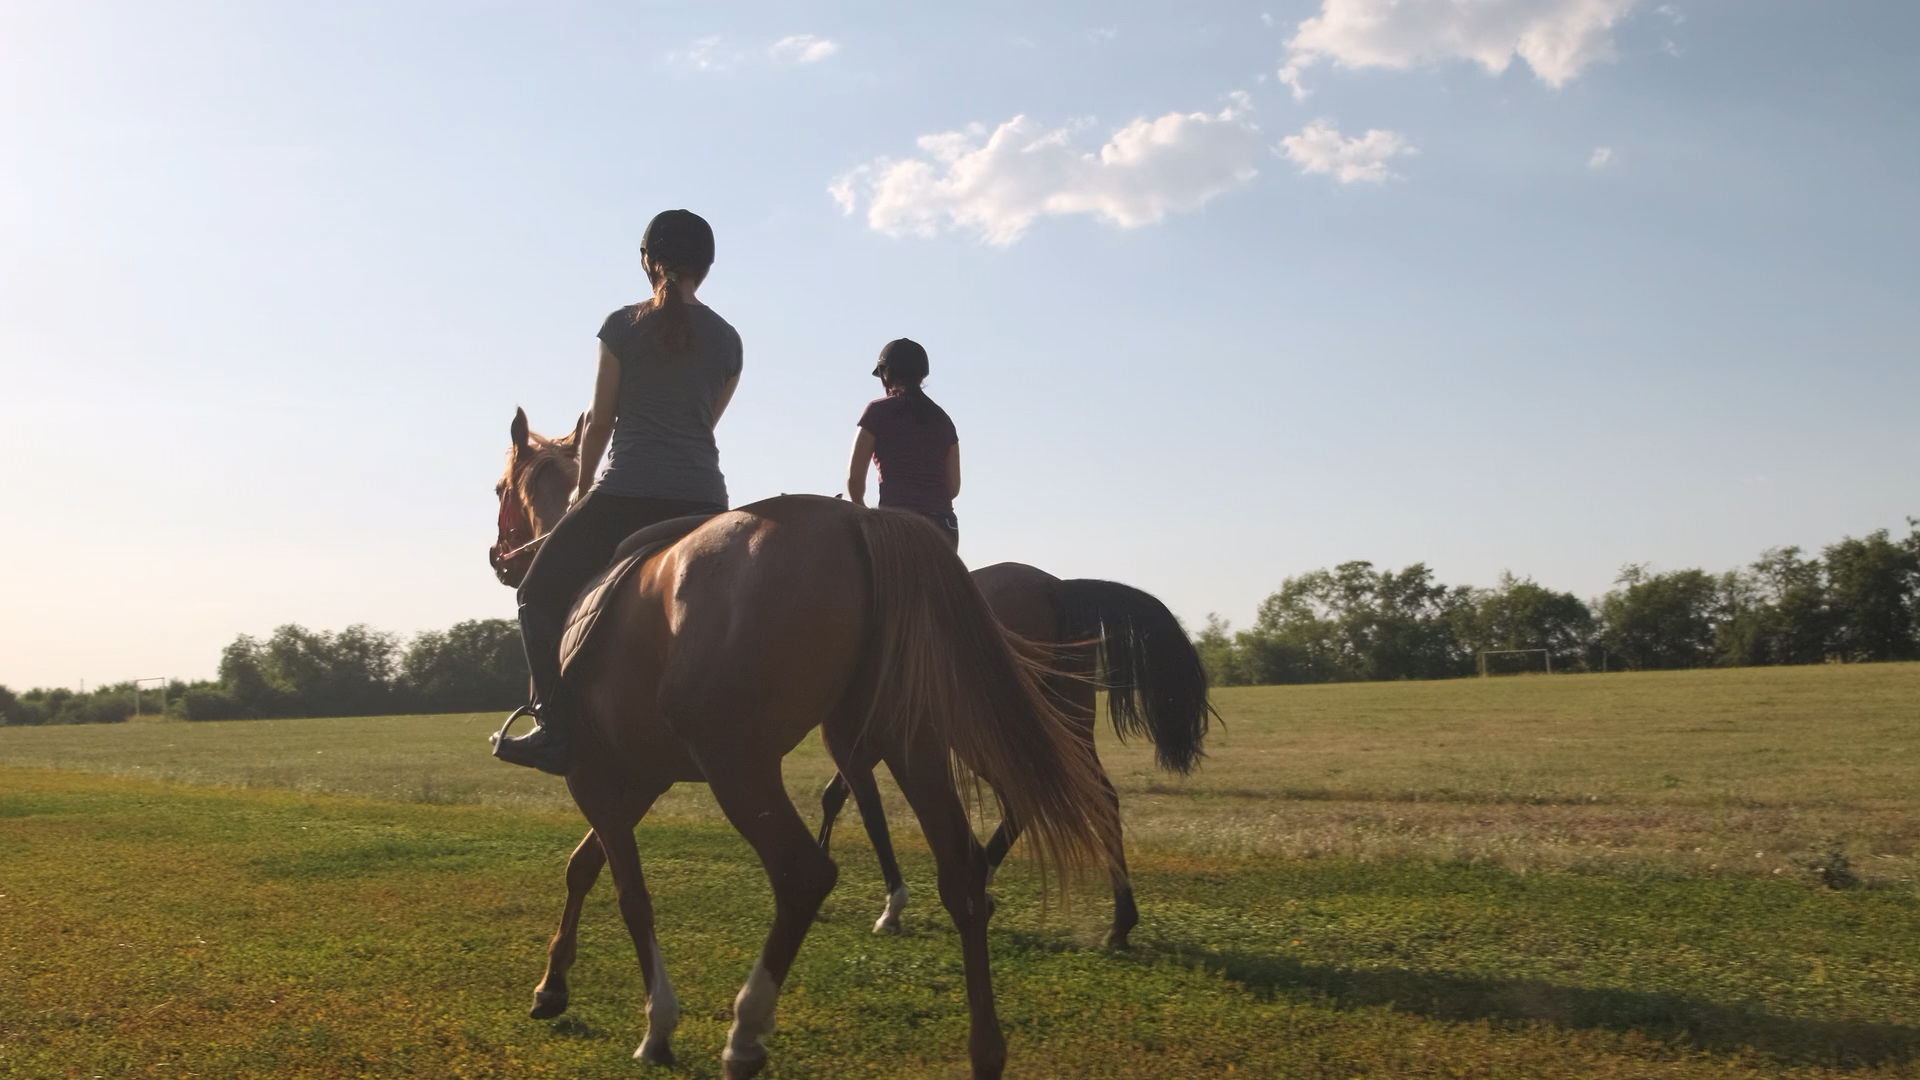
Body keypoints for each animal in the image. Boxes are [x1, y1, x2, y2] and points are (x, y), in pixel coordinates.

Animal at [486, 409, 1121, 1079]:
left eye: (500, 489)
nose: (501, 559)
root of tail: (861, 522)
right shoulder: (638, 778)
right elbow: (582, 867)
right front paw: (552, 986)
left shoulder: (595, 775)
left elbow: (629, 893)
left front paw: (657, 1024)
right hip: (911, 744)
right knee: (964, 873)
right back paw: (986, 1047)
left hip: (742, 765)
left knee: (803, 874)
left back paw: (746, 1032)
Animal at [817, 561, 1217, 948]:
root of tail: (1059, 588)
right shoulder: (869, 738)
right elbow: (835, 797)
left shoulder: (851, 736)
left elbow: (870, 814)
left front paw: (888, 908)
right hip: (1065, 724)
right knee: (1096, 798)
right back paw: (1119, 925)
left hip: (984, 732)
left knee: (1030, 798)